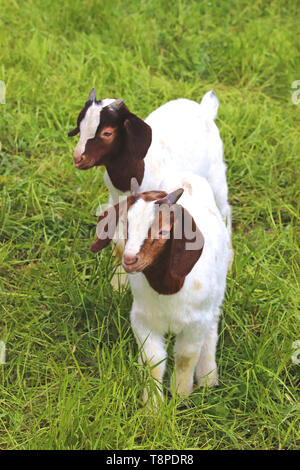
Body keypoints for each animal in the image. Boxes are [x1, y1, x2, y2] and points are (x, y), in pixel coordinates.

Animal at [68, 88, 234, 276]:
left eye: (107, 132)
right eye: (80, 127)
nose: (78, 158)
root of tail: (205, 109)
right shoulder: (117, 200)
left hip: (216, 174)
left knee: (224, 209)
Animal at [91, 174, 230, 402]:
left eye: (163, 231)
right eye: (126, 223)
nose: (129, 260)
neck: (168, 290)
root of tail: (188, 176)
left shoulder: (195, 322)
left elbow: (185, 356)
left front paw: (180, 396)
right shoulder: (143, 320)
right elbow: (153, 361)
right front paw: (152, 405)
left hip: (215, 297)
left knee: (212, 324)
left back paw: (208, 377)